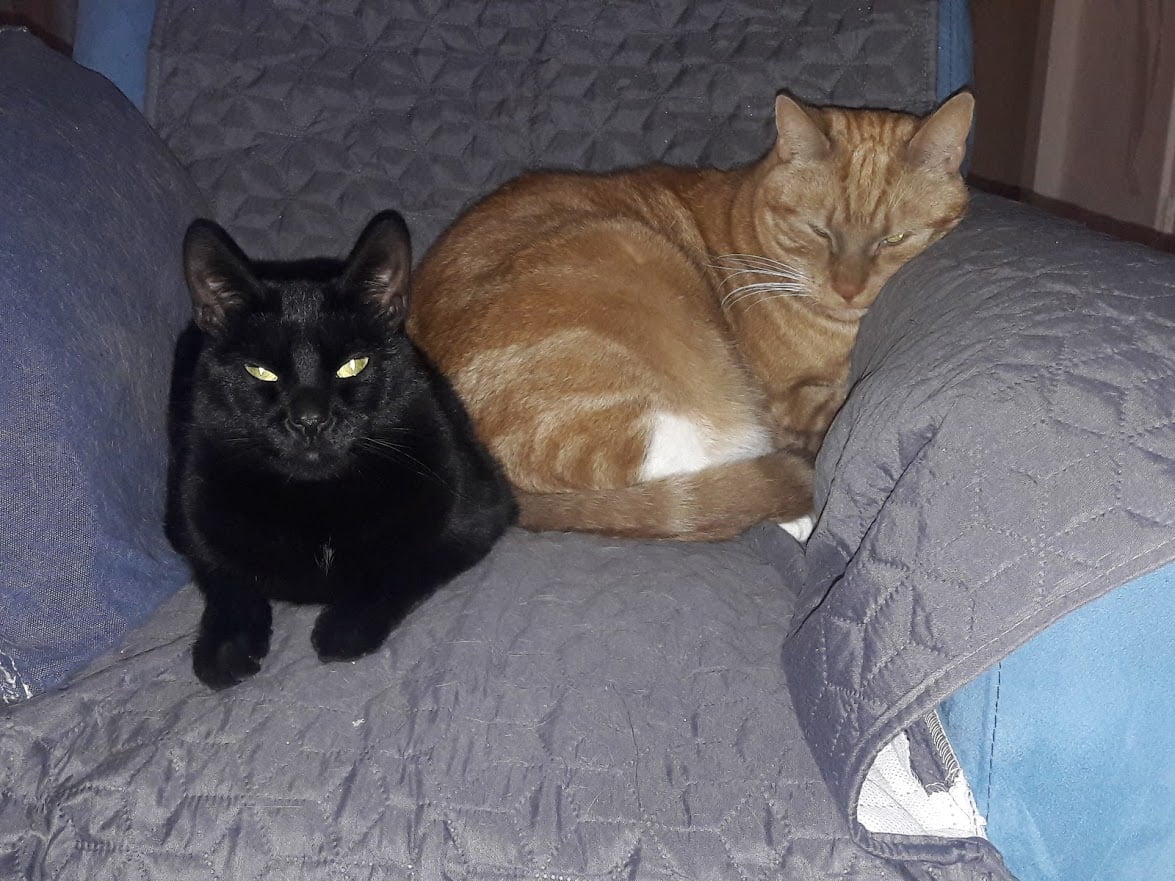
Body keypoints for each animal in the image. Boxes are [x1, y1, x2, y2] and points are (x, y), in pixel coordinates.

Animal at [167, 210, 517, 690]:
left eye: (353, 365)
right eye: (260, 371)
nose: (310, 419)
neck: (316, 500)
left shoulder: (478, 512)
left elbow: (407, 563)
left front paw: (344, 627)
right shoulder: (190, 515)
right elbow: (224, 577)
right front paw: (225, 647)